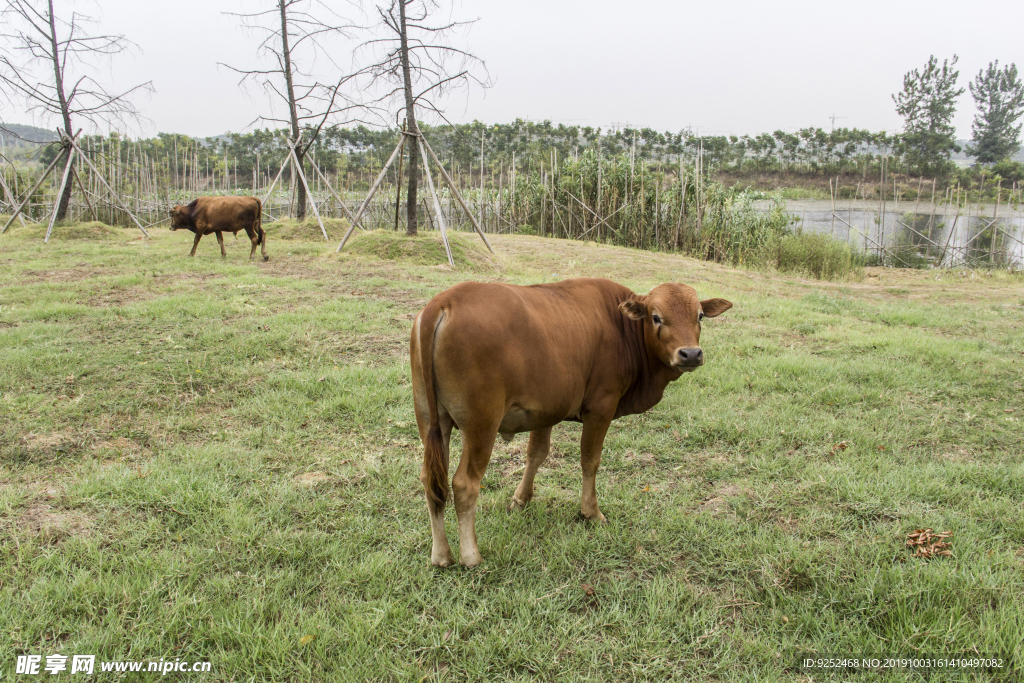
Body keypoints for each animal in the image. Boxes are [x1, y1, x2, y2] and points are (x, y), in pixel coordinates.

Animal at [411, 276, 733, 565]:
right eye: (656, 317)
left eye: (699, 315)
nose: (690, 354)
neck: (622, 328)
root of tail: (444, 301)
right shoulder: (601, 408)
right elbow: (590, 461)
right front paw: (591, 512)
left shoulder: (544, 410)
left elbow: (536, 454)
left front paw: (521, 499)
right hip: (481, 426)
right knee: (465, 484)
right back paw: (470, 556)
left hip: (431, 421)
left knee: (430, 480)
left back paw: (441, 554)